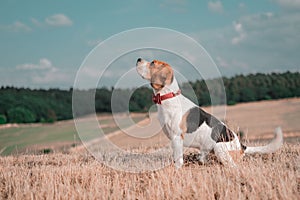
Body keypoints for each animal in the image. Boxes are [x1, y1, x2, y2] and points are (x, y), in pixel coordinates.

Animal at [136, 57, 284, 169]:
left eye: (153, 63)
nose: (138, 59)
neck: (168, 96)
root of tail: (242, 146)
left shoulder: (177, 137)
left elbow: (178, 160)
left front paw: (176, 170)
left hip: (219, 148)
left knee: (233, 166)